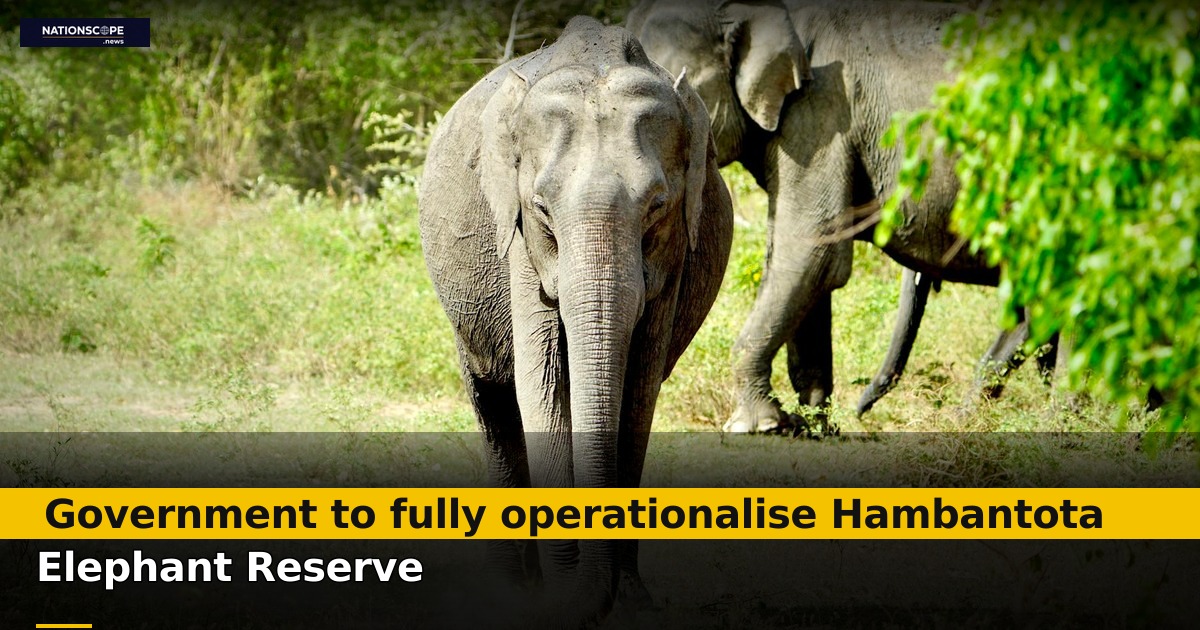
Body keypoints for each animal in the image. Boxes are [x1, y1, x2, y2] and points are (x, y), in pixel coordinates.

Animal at [418, 16, 733, 623]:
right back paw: (514, 589)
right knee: (494, 406)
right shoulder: (519, 238)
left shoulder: (675, 254)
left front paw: (632, 601)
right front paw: (562, 594)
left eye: (657, 207)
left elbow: (638, 394)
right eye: (542, 209)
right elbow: (541, 385)